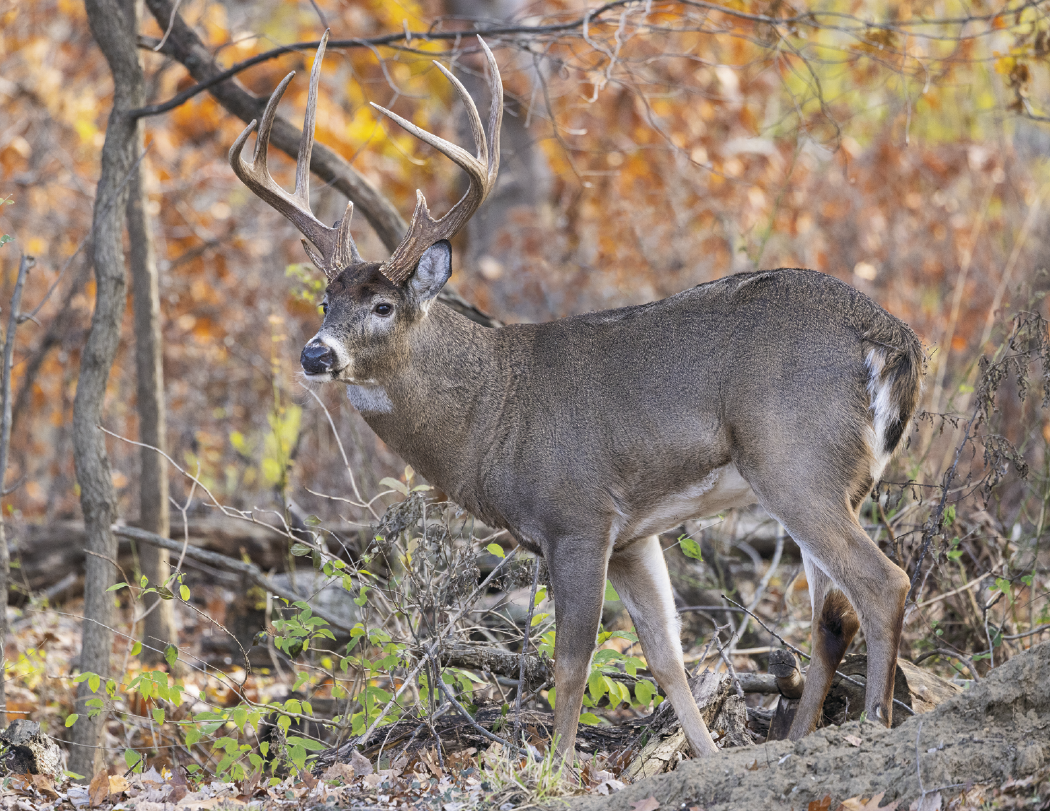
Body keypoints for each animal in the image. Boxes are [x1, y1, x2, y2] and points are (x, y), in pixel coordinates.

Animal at [229, 33, 924, 761]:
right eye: (324, 301)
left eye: (384, 306)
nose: (315, 354)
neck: (491, 416)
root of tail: (893, 338)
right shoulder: (634, 535)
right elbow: (666, 657)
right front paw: (705, 757)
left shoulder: (578, 514)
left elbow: (572, 663)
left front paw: (557, 768)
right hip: (836, 477)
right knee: (831, 616)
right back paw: (800, 738)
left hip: (794, 458)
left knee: (883, 584)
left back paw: (874, 724)